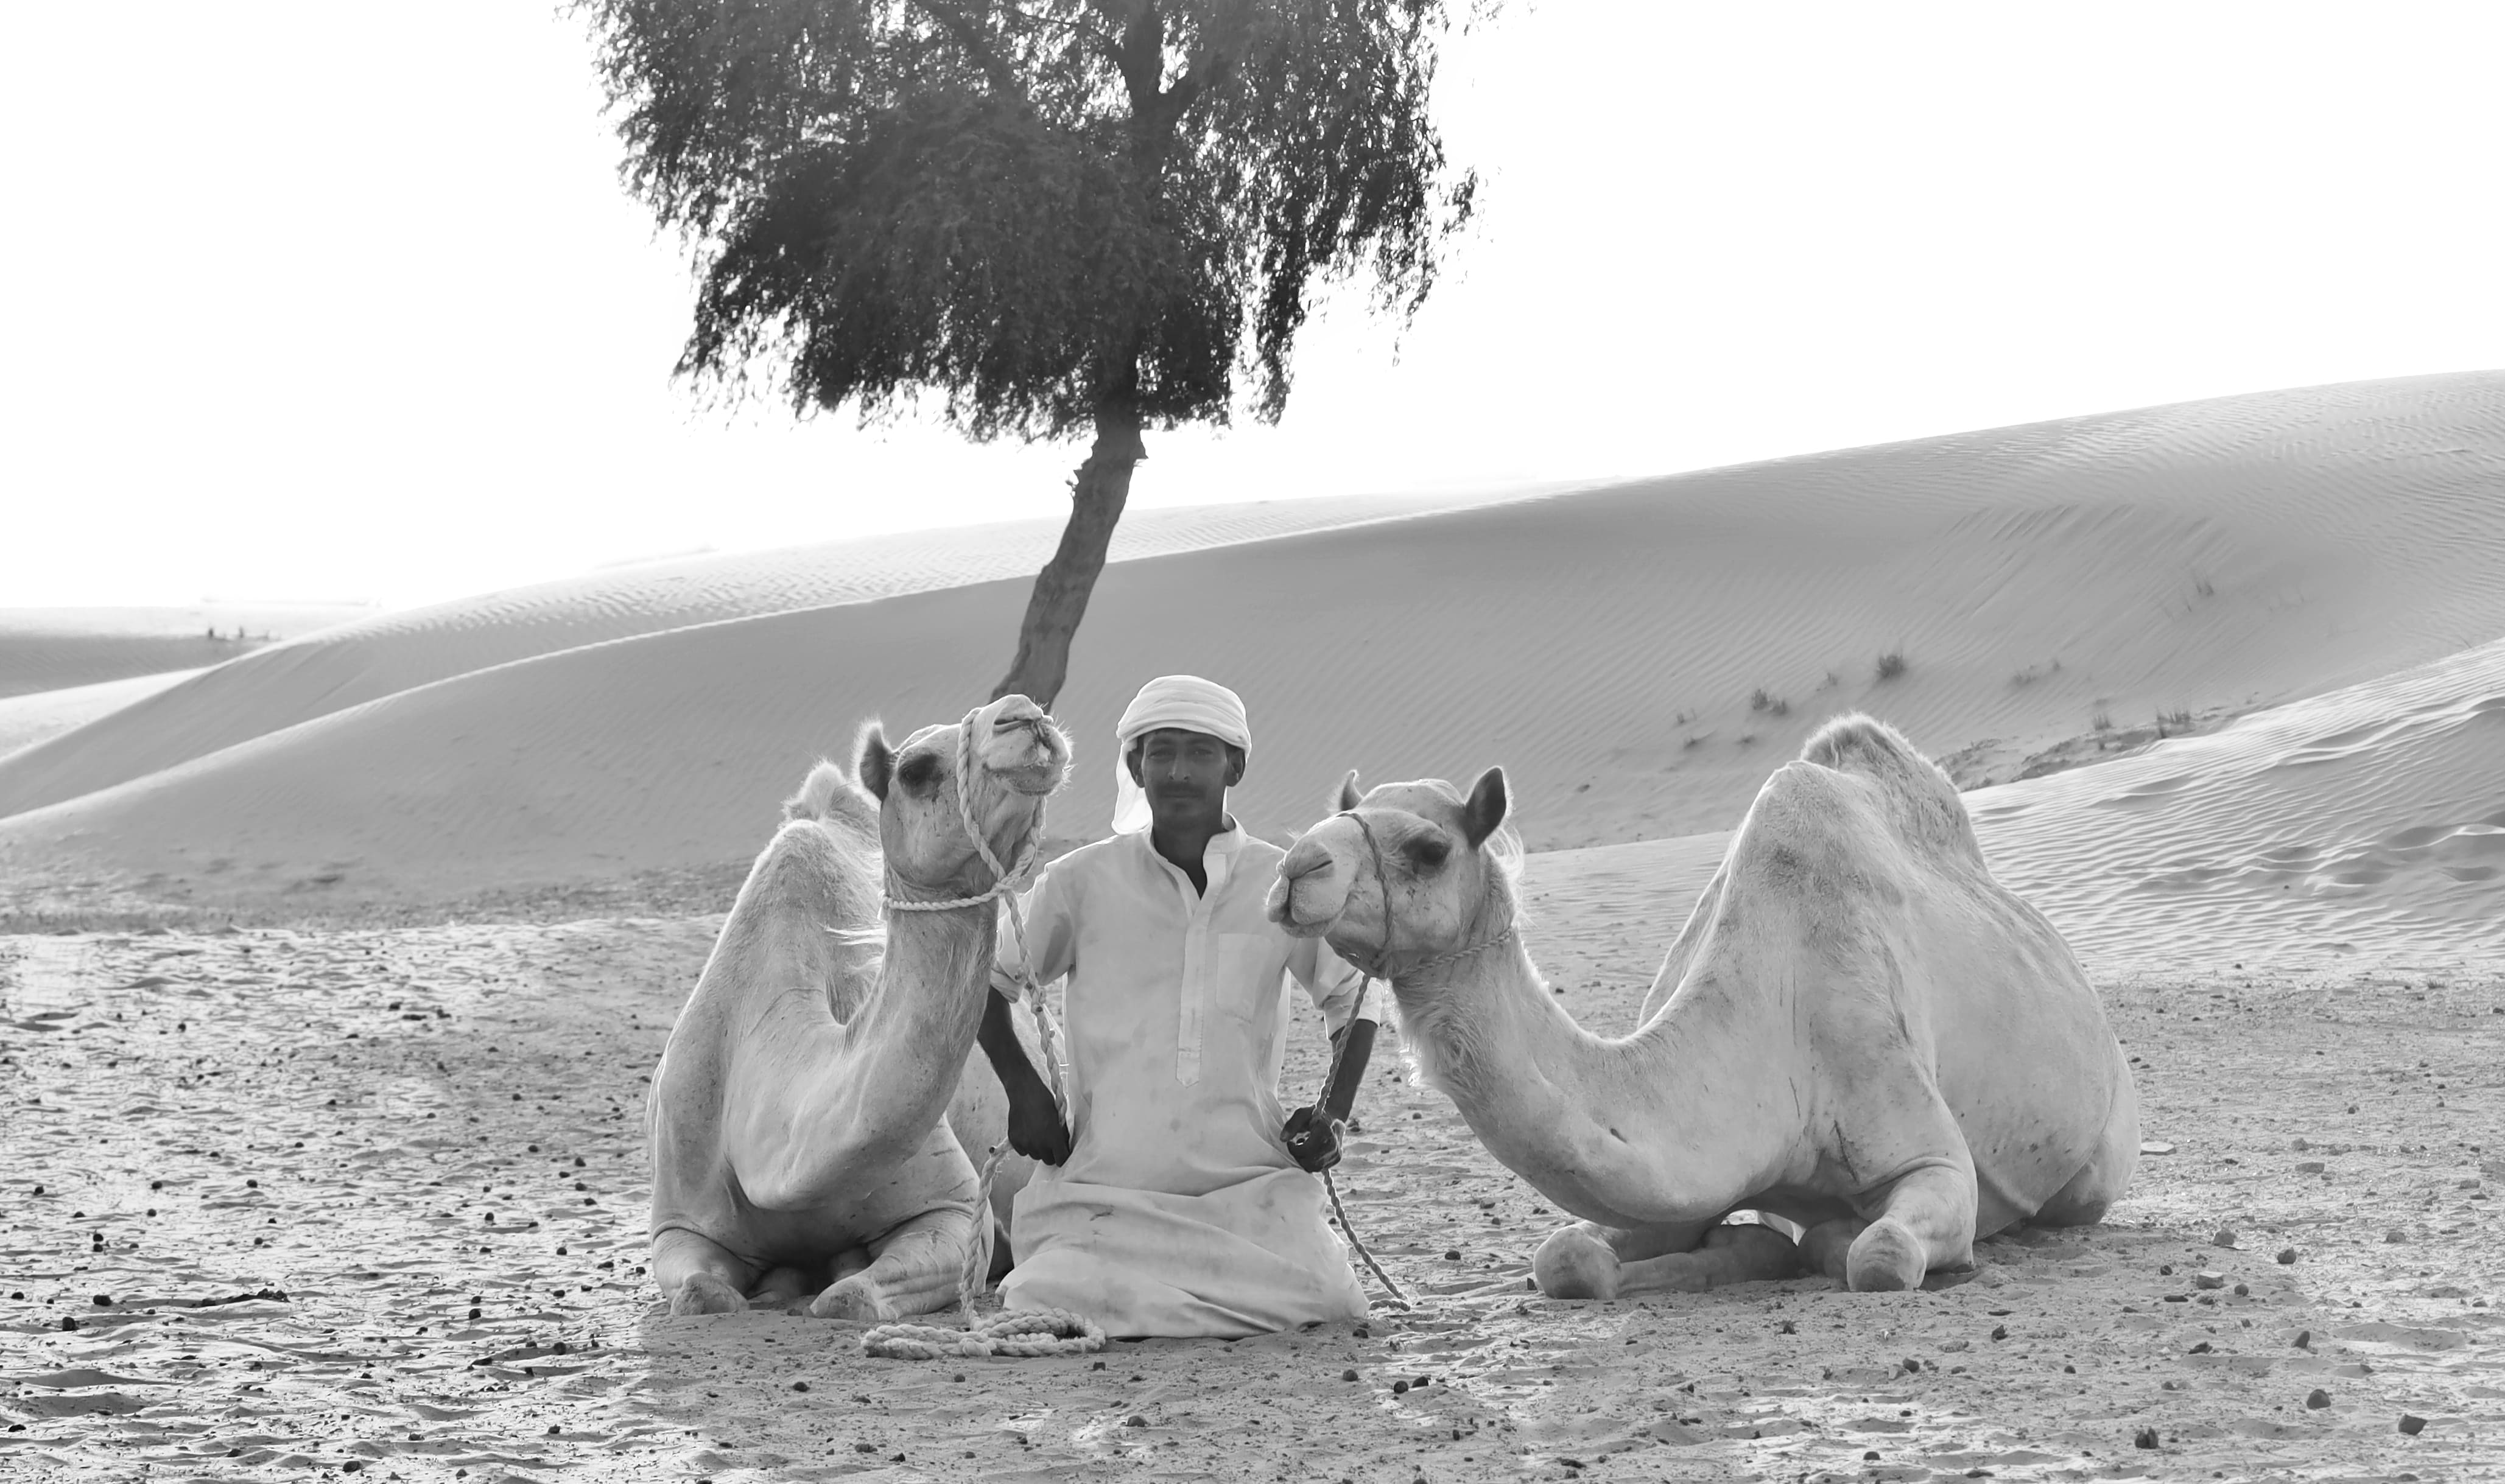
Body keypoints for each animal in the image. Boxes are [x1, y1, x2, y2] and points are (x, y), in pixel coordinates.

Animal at [647, 695, 1072, 1319]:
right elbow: (705, 1292)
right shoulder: (678, 1224)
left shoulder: (950, 1210)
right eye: (915, 769)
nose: (1027, 716)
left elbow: (849, 1299)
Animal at [1265, 714, 2138, 1297]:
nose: (1294, 867)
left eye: (1428, 848)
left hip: (2099, 1157)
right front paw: (1731, 1252)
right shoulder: (1674, 1183)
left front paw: (1824, 1240)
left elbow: (1877, 1254)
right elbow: (1566, 1258)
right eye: (1338, 814)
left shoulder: (1926, 1152)